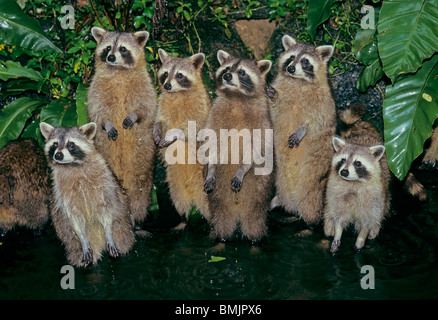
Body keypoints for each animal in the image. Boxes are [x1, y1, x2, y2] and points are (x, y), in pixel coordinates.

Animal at [40, 121, 134, 266]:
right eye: (55, 144)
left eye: (71, 144)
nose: (58, 155)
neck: (72, 165)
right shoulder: (62, 192)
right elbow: (74, 217)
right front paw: (82, 239)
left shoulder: (105, 183)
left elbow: (106, 208)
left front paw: (108, 232)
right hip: (72, 243)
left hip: (122, 229)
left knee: (124, 241)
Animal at [86, 28, 157, 228]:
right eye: (108, 47)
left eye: (123, 49)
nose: (111, 57)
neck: (118, 71)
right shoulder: (95, 87)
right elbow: (98, 112)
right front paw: (107, 123)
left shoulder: (145, 84)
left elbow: (147, 108)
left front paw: (134, 116)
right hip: (106, 153)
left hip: (143, 152)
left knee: (139, 184)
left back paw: (135, 213)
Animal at [155, 48, 211, 228]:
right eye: (166, 74)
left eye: (179, 75)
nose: (167, 85)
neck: (178, 93)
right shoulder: (163, 104)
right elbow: (160, 120)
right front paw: (157, 129)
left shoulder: (201, 109)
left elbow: (194, 128)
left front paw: (175, 133)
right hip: (174, 178)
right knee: (178, 199)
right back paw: (184, 219)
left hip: (204, 179)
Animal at [203, 49, 272, 240]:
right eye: (227, 68)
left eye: (242, 72)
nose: (227, 76)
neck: (236, 96)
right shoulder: (215, 115)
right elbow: (212, 143)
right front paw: (211, 167)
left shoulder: (261, 120)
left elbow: (257, 147)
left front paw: (242, 169)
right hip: (218, 196)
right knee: (221, 218)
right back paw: (222, 237)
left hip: (260, 189)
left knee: (254, 220)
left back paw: (255, 239)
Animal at [270, 35, 336, 225]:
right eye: (291, 57)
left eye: (305, 61)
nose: (291, 68)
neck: (298, 81)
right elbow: (273, 111)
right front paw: (273, 96)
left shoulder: (325, 102)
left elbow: (319, 121)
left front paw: (303, 129)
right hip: (281, 180)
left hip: (314, 181)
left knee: (310, 201)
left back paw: (311, 221)